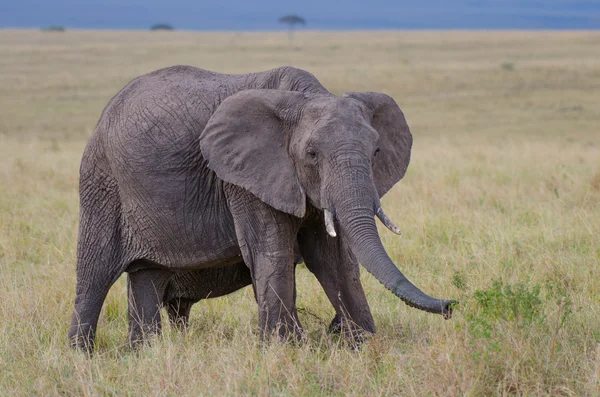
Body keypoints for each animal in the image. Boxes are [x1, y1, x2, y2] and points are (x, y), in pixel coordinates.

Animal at [69, 65, 454, 352]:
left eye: (375, 152)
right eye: (311, 154)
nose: (452, 306)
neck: (306, 97)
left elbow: (332, 259)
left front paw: (361, 345)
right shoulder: (243, 179)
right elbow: (272, 252)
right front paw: (285, 351)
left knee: (147, 274)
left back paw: (145, 354)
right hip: (101, 181)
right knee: (94, 273)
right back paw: (81, 357)